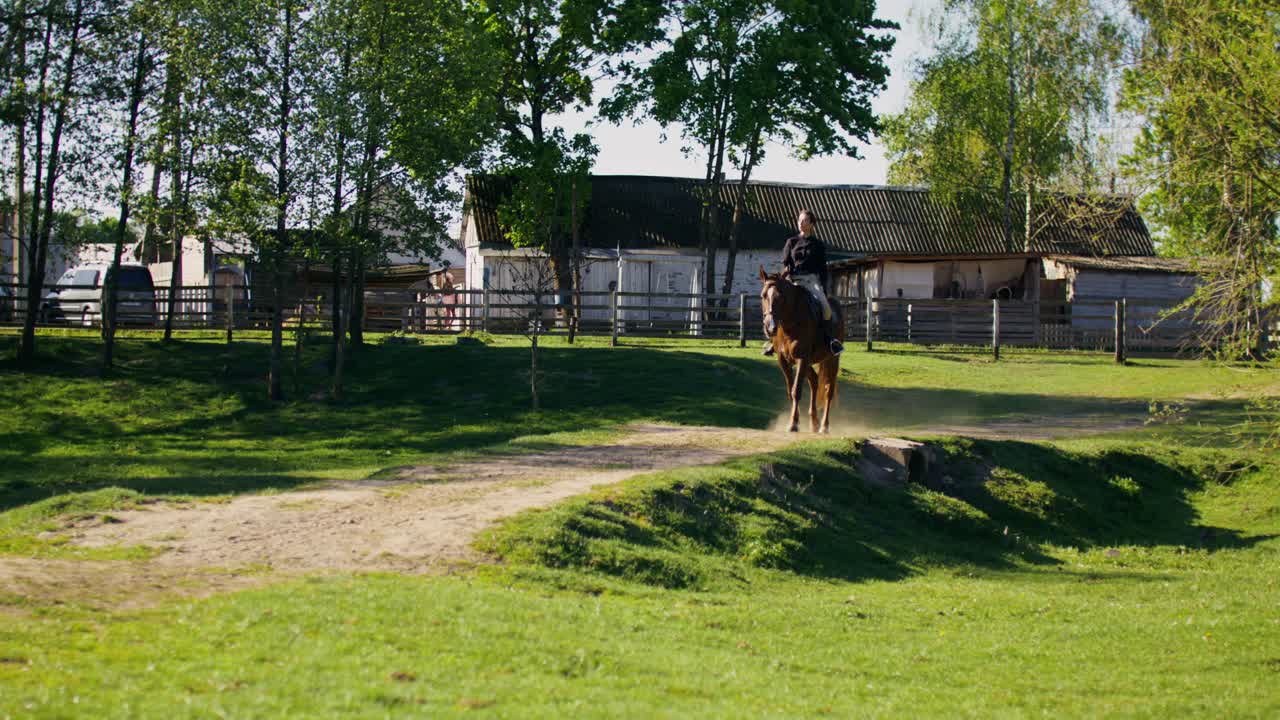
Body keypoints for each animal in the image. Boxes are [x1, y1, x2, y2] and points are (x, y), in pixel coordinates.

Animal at [759, 267, 843, 433]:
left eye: (781, 297)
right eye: (763, 295)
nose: (769, 327)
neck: (789, 324)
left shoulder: (802, 358)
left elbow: (796, 390)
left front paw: (793, 424)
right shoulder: (784, 360)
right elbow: (790, 391)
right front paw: (795, 420)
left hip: (832, 359)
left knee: (828, 390)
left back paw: (824, 426)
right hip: (808, 363)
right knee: (814, 381)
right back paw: (814, 423)